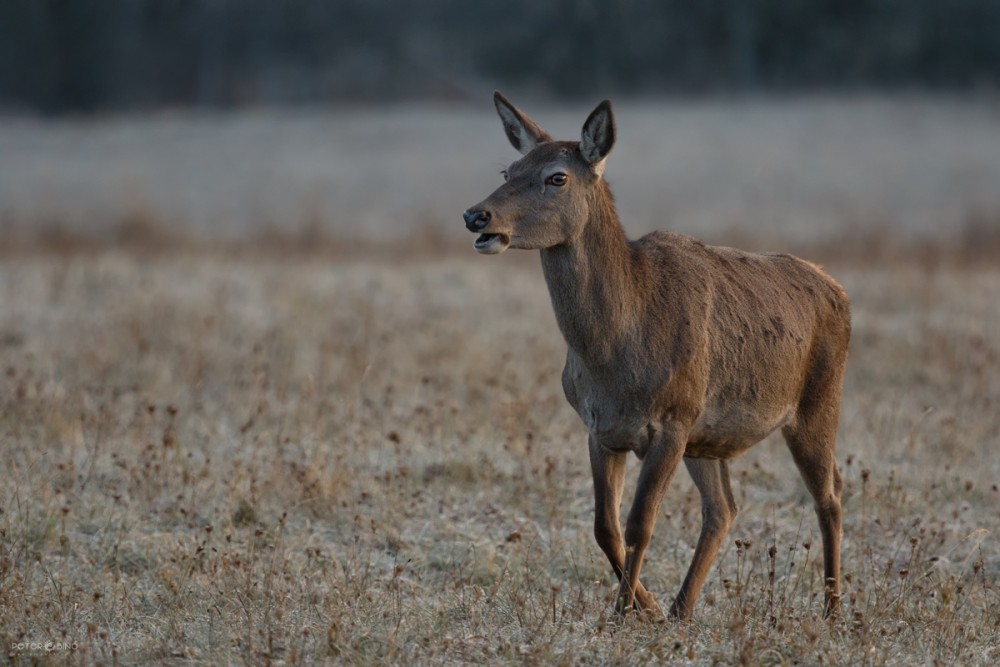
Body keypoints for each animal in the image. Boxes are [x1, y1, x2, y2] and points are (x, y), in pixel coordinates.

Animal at [462, 92, 852, 620]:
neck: (616, 354)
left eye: (557, 177)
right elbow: (605, 527)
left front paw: (622, 612)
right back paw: (681, 609)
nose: (476, 216)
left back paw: (833, 609)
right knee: (724, 509)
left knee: (829, 494)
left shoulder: (672, 418)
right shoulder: (601, 428)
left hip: (817, 400)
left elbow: (639, 523)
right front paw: (643, 606)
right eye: (509, 169)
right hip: (708, 438)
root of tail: (838, 289)